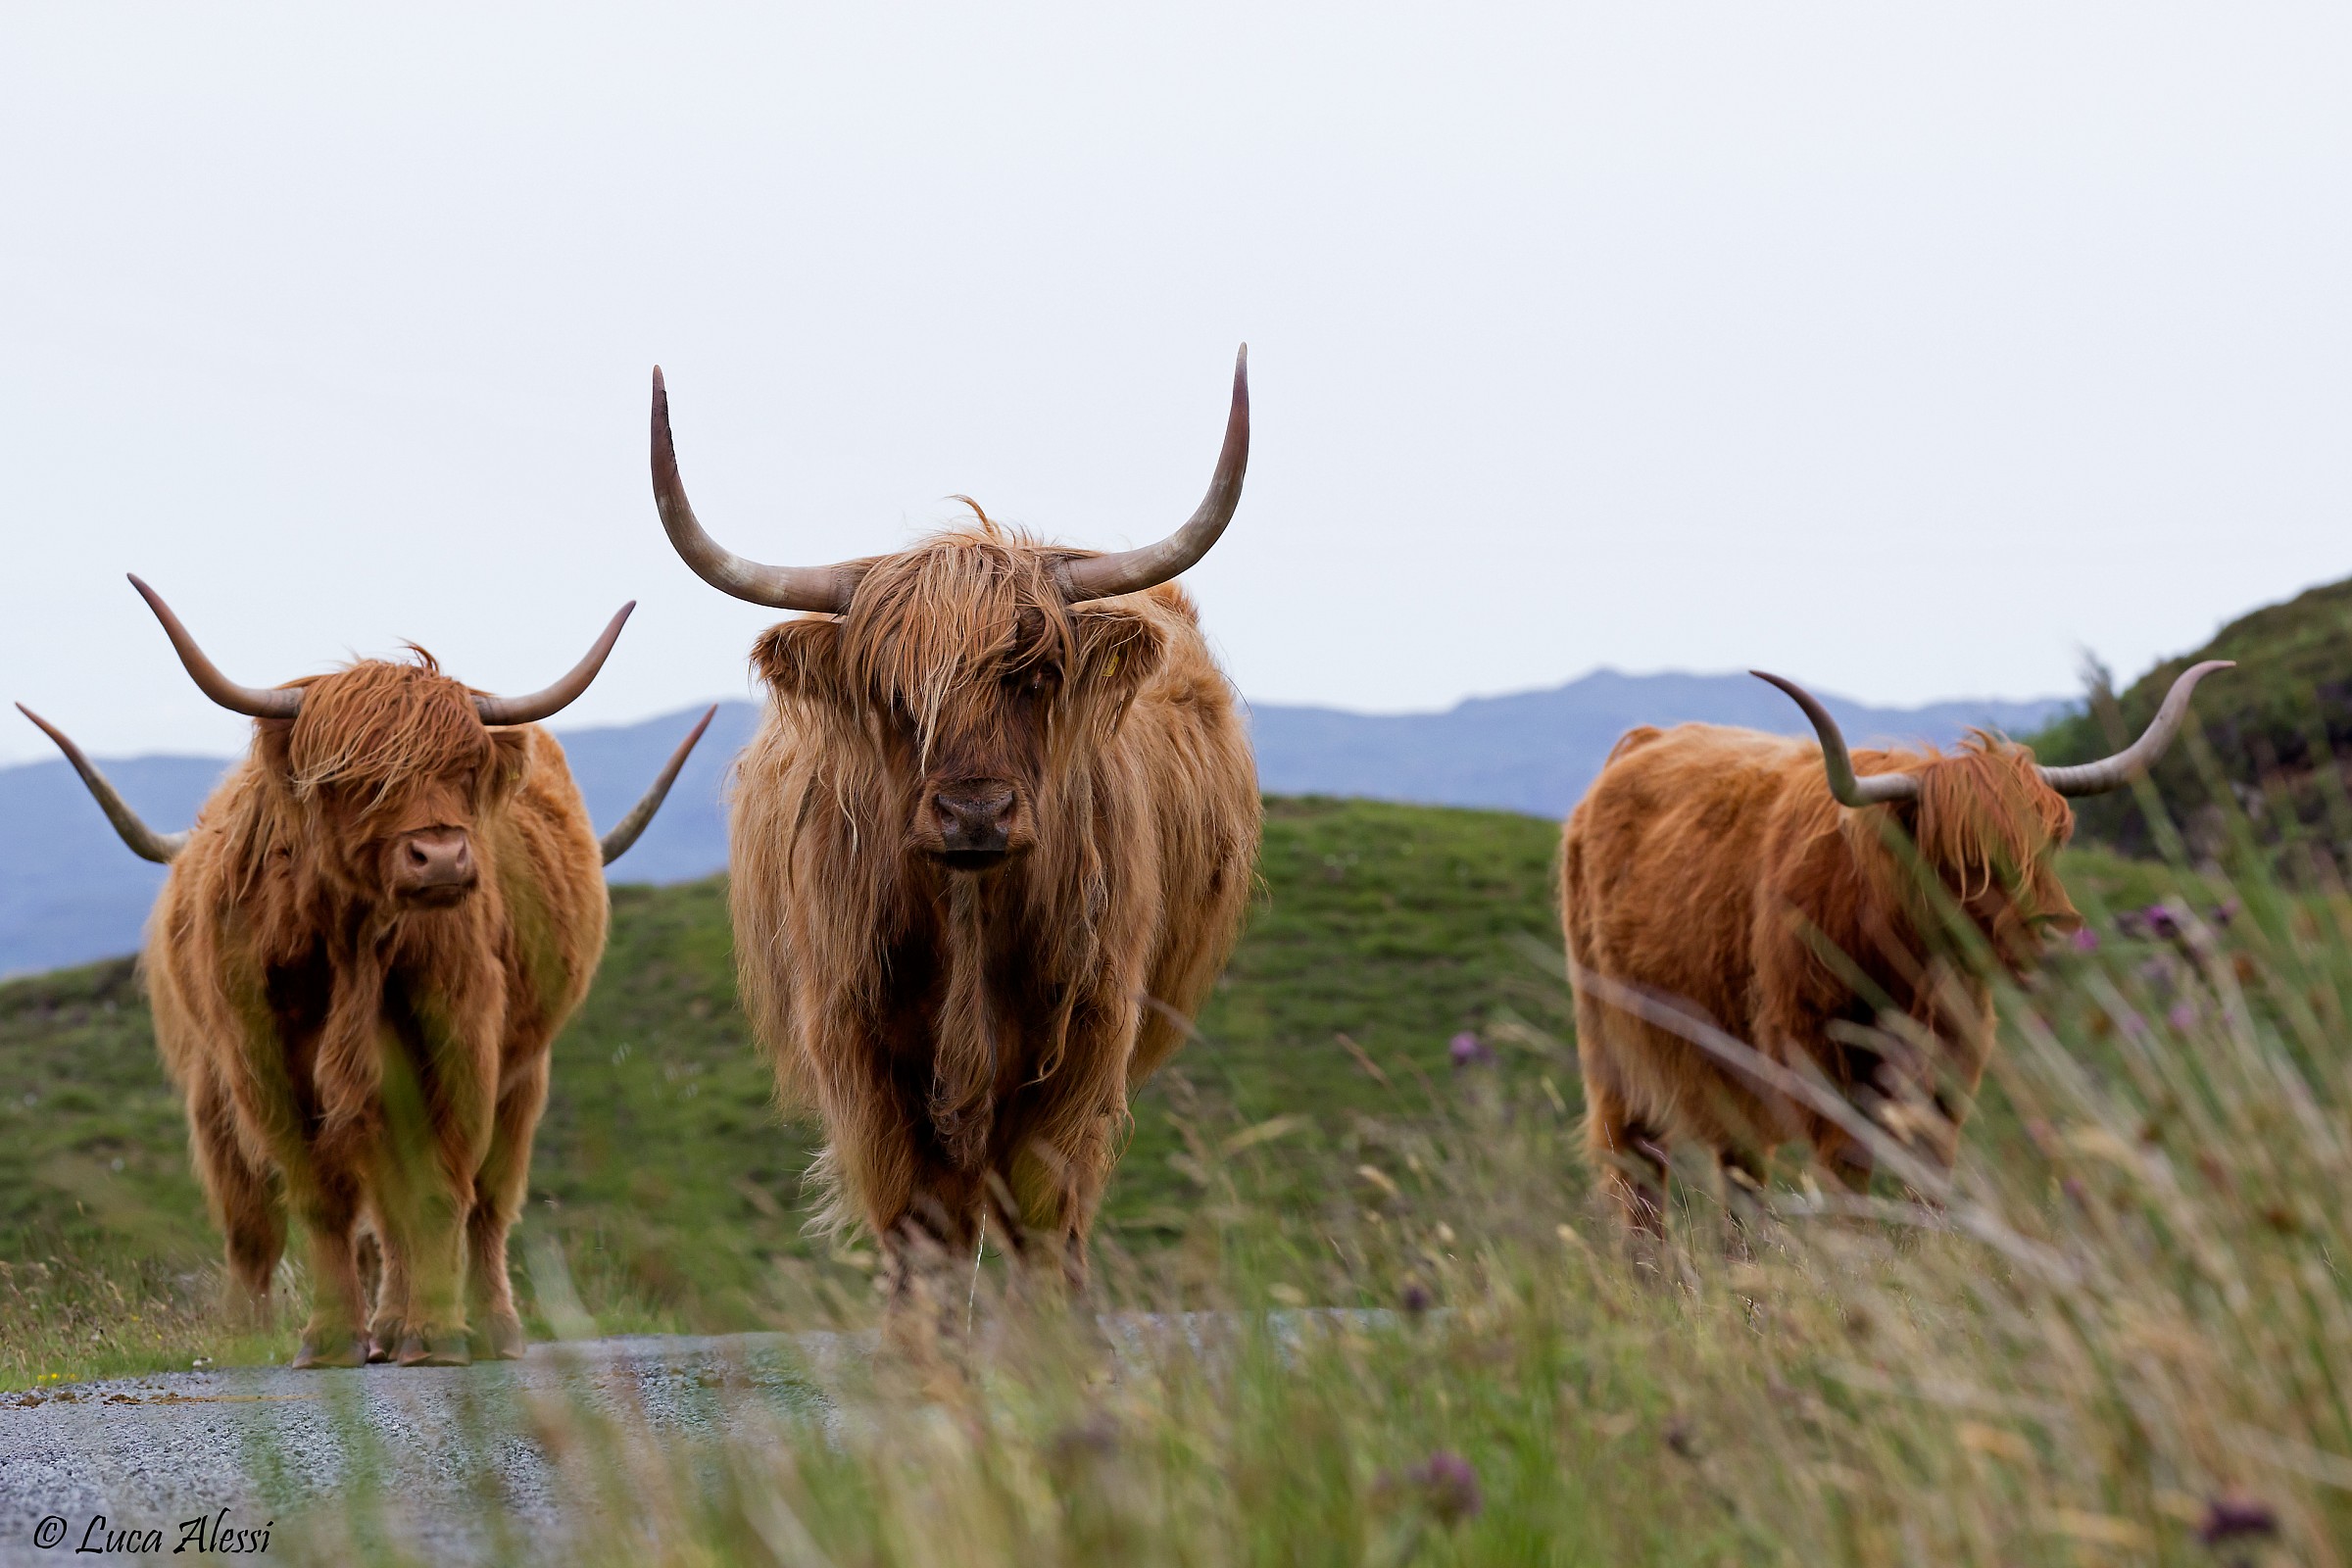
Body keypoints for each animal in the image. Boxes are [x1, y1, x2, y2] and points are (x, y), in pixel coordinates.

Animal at [18, 580, 713, 1367]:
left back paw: (487, 1327)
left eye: (464, 771)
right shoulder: (259, 1063)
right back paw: (363, 1328)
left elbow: (441, 1191)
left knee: (487, 1202)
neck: (351, 937)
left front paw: (437, 1333)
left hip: (522, 1073)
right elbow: (319, 1200)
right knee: (301, 1217)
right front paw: (327, 1339)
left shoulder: (460, 1041)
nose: (442, 858)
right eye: (357, 779)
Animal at [647, 350, 1260, 1319]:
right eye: (892, 692)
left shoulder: (1081, 1053)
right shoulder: (868, 1066)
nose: (975, 812)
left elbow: (1047, 1231)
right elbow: (922, 1247)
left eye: (1036, 674)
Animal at [1560, 661, 2230, 1235]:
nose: (2057, 935)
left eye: (2050, 843)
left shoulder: (1949, 1072)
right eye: (1964, 859)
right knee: (1637, 1166)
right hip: (1617, 1046)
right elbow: (1849, 1181)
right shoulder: (1821, 1065)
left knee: (1738, 1174)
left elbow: (1928, 1186)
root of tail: (1642, 742)